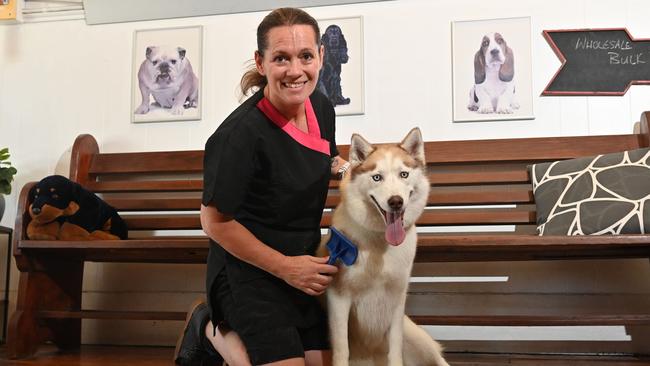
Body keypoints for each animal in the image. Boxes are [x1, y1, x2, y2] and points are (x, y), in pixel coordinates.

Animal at [316, 127, 448, 364]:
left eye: (404, 174)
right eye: (377, 177)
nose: (396, 201)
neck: (380, 243)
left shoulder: (397, 300)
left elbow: (394, 349)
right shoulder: (339, 298)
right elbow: (342, 350)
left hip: (417, 338)